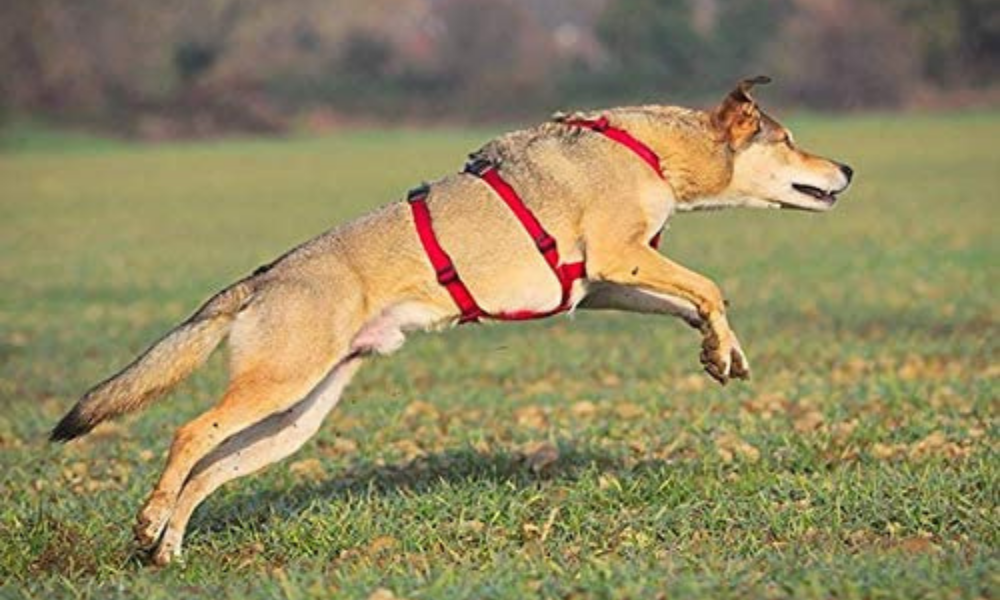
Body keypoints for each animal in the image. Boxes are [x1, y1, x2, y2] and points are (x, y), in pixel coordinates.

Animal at [50, 76, 856, 564]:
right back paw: (150, 523)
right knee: (189, 435)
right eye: (788, 140)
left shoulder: (603, 283)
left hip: (293, 417)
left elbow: (701, 300)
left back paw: (167, 548)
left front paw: (722, 352)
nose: (848, 169)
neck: (654, 151)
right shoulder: (620, 258)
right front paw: (720, 350)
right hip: (278, 384)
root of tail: (260, 280)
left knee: (212, 469)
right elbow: (710, 286)